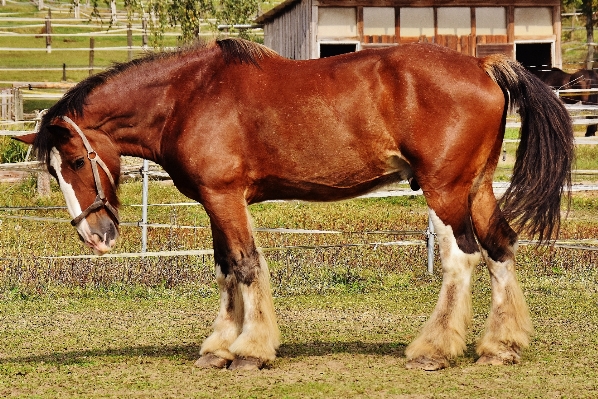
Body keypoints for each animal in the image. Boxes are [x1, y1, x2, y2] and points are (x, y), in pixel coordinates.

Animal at [17, 39, 576, 374]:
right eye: (53, 170)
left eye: (75, 159)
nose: (94, 235)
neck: (188, 98)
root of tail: (483, 64)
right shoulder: (218, 202)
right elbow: (226, 269)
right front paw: (219, 348)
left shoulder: (225, 198)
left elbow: (245, 266)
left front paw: (248, 352)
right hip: (476, 187)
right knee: (500, 247)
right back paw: (500, 346)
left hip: (445, 190)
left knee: (462, 258)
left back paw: (434, 350)